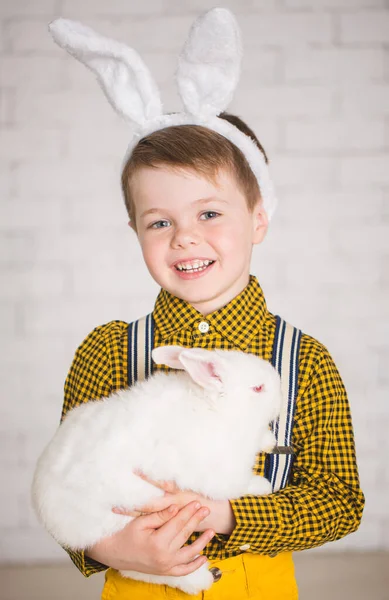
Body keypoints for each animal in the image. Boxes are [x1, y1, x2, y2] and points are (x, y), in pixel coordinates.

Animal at [31, 344, 280, 592]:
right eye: (258, 388)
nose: (281, 396)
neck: (216, 408)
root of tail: (44, 510)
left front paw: (269, 441)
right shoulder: (221, 475)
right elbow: (239, 485)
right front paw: (263, 485)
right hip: (124, 524)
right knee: (140, 568)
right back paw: (201, 578)